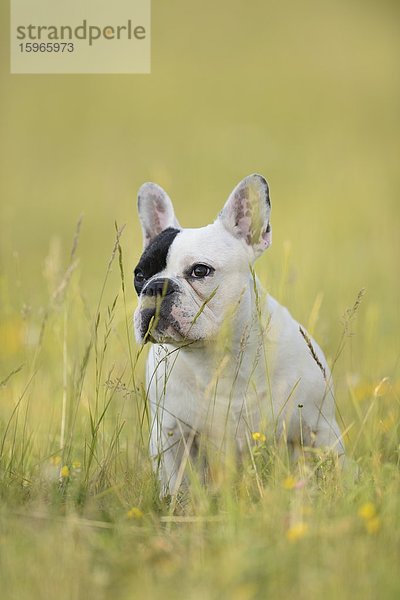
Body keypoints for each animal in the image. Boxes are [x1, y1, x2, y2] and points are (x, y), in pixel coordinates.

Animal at [134, 172, 344, 492]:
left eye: (200, 271)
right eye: (139, 275)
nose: (156, 287)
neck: (217, 357)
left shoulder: (322, 430)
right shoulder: (170, 438)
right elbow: (177, 487)